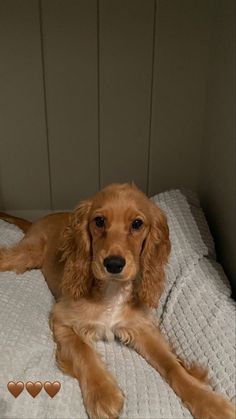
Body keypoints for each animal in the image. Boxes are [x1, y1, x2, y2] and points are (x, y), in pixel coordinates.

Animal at [0, 185, 235, 419]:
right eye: (99, 221)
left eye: (137, 224)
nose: (113, 264)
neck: (111, 291)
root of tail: (39, 219)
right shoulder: (62, 319)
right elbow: (83, 351)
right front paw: (103, 393)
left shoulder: (142, 327)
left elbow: (172, 365)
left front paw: (209, 402)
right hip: (27, 253)